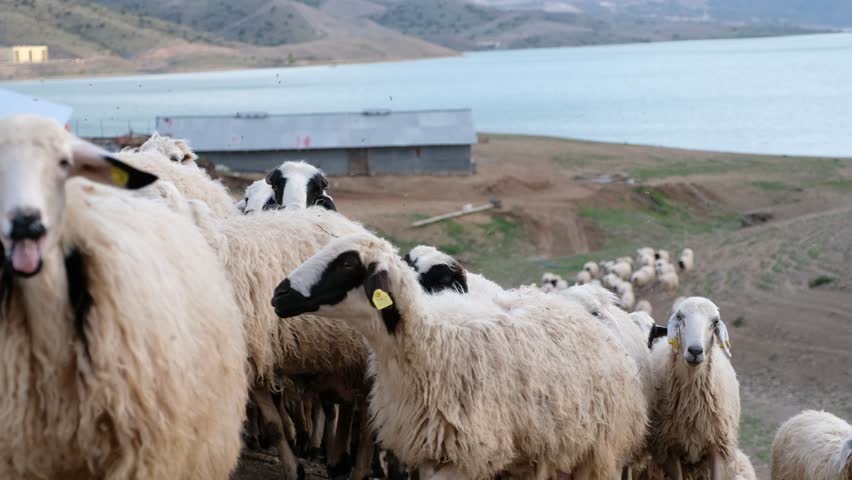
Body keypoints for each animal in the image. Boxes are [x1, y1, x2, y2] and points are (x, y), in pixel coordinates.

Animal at [272, 232, 649, 480]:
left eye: (348, 262)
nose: (279, 294)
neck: (427, 343)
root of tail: (587, 307)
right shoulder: (428, 452)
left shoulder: (463, 457)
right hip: (543, 451)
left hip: (599, 452)